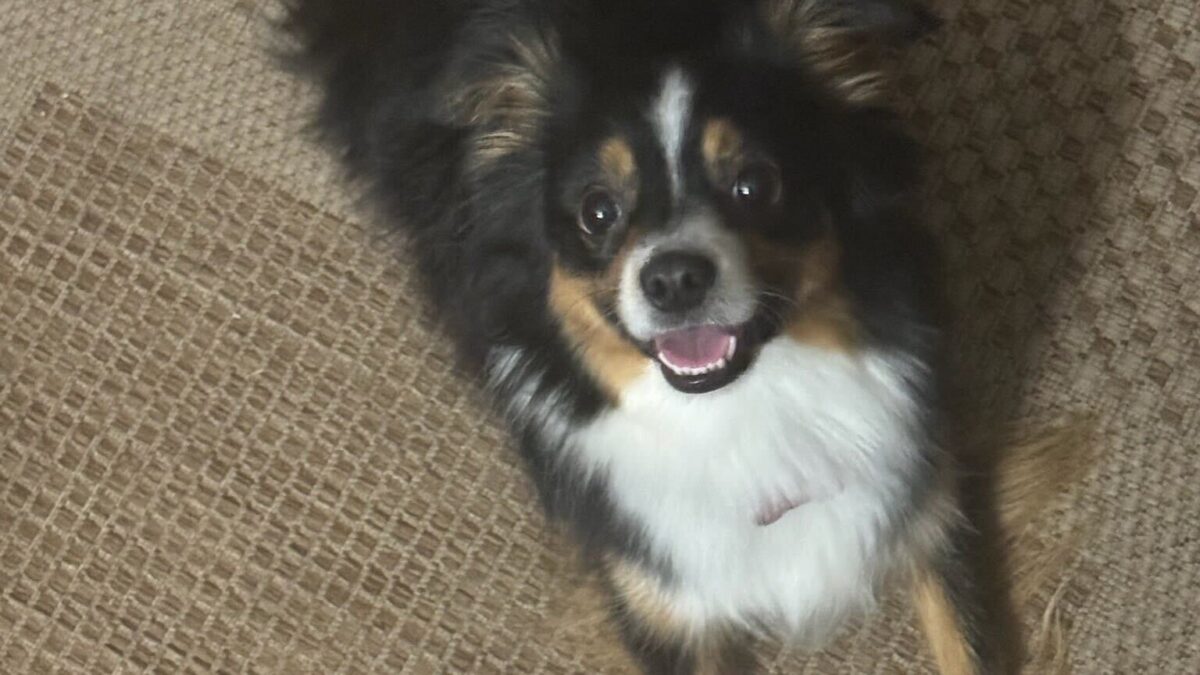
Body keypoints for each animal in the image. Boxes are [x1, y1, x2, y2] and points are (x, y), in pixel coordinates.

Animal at [285, 2, 1008, 667]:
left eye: (755, 184)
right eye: (597, 210)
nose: (674, 279)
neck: (738, 412)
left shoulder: (927, 502)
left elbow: (967, 643)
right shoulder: (657, 595)